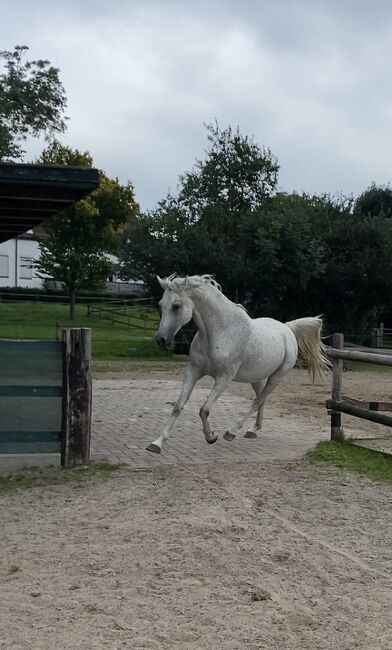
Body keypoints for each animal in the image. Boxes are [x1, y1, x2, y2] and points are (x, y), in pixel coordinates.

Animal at [145, 272, 330, 450]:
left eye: (176, 306)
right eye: (160, 305)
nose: (161, 340)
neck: (220, 332)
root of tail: (287, 329)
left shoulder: (223, 379)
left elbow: (204, 409)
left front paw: (211, 437)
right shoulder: (193, 372)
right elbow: (178, 406)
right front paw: (157, 443)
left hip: (276, 377)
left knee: (257, 401)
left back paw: (231, 432)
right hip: (257, 378)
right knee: (260, 399)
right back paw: (253, 430)